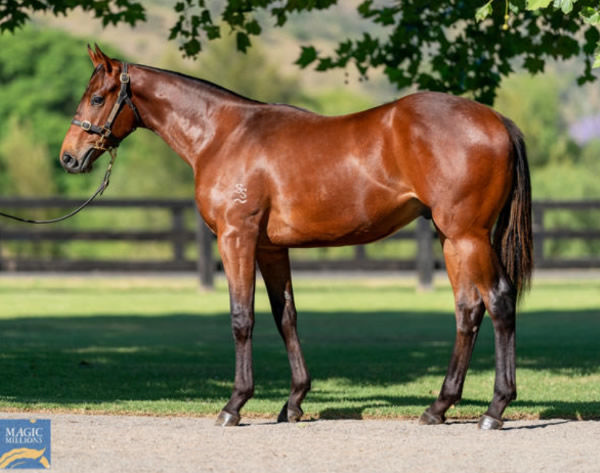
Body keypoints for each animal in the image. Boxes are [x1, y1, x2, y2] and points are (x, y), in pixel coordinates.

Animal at [58, 46, 532, 430]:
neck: (223, 134)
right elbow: (285, 315)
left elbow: (241, 317)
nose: (68, 157)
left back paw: (494, 410)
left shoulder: (236, 238)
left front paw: (234, 405)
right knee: (468, 309)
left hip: (467, 235)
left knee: (499, 300)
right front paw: (294, 402)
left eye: (97, 98)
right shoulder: (271, 248)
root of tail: (497, 121)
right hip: (452, 239)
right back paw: (439, 407)